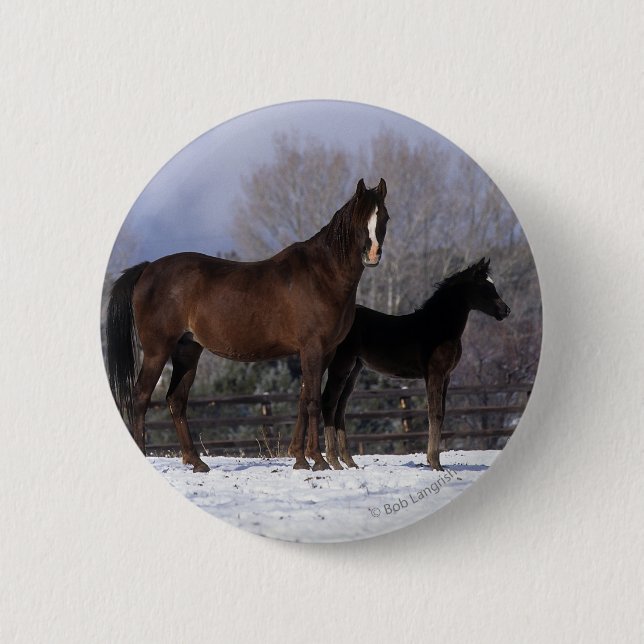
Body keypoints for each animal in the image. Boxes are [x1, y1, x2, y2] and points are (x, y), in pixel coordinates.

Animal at [106, 178, 389, 472]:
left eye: (384, 217)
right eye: (359, 219)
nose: (372, 255)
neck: (321, 275)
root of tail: (148, 268)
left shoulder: (325, 351)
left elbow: (303, 400)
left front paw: (300, 459)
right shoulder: (313, 348)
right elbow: (312, 401)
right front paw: (318, 460)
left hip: (187, 350)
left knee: (176, 400)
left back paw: (197, 462)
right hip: (156, 351)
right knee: (140, 398)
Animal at [320, 258, 510, 471]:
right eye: (485, 287)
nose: (506, 310)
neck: (439, 327)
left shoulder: (446, 376)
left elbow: (442, 414)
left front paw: (434, 461)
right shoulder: (434, 374)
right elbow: (435, 414)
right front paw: (435, 463)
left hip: (354, 370)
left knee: (341, 408)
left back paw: (350, 462)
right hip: (341, 365)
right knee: (328, 402)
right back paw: (334, 461)